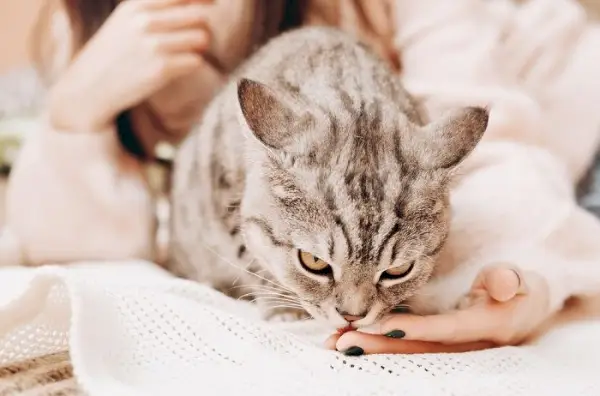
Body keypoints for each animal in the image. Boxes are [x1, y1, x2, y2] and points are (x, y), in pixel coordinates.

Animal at [168, 27, 488, 328]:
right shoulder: (224, 195)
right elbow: (252, 257)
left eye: (398, 270)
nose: (352, 316)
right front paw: (283, 307)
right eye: (313, 261)